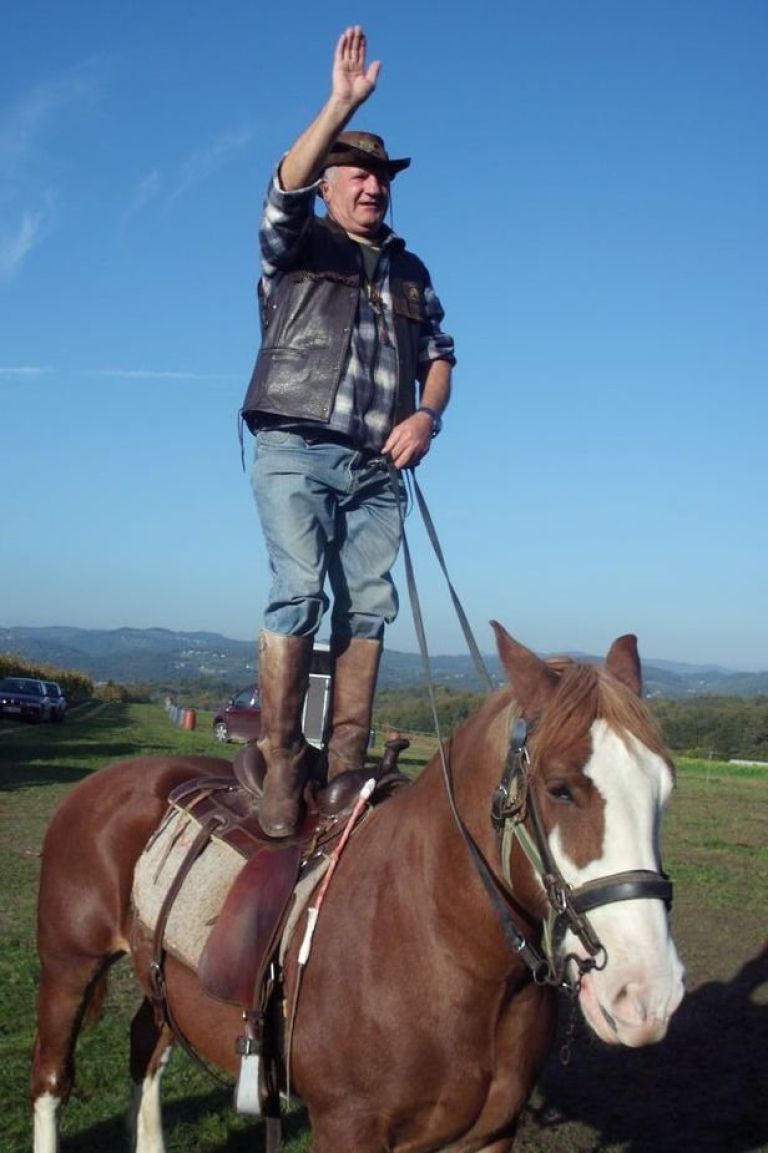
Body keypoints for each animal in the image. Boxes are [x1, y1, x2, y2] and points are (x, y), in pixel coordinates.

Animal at [31, 623, 685, 1153]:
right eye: (559, 788)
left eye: (666, 788)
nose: (647, 997)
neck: (440, 946)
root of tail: (109, 782)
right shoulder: (350, 1129)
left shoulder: (491, 1133)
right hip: (68, 966)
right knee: (51, 1080)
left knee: (147, 1048)